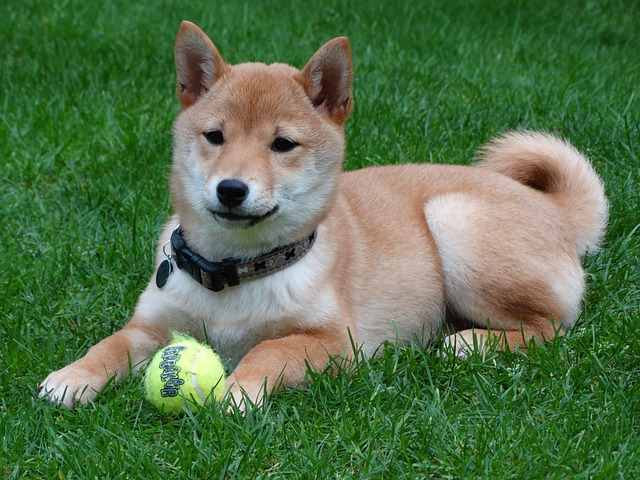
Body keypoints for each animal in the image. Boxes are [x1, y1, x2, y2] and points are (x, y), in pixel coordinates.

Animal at [37, 21, 608, 408]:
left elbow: (269, 352)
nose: (231, 189)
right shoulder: (153, 325)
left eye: (282, 144)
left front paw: (239, 389)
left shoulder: (335, 343)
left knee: (552, 327)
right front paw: (71, 378)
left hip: (454, 221)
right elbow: (109, 344)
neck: (235, 273)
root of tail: (552, 207)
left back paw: (471, 342)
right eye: (215, 136)